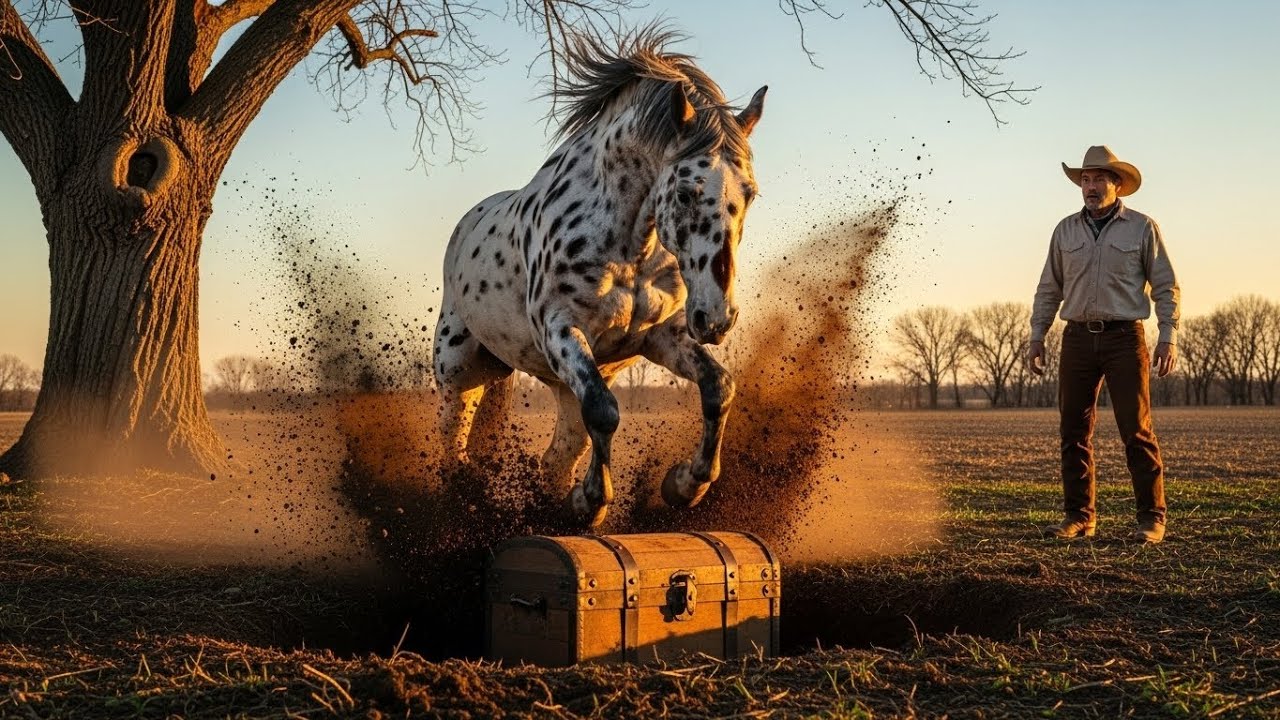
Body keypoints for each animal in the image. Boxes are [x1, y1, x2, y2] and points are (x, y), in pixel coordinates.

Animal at [432, 28, 766, 527]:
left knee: (556, 456)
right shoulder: (562, 331)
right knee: (453, 446)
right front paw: (589, 504)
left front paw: (684, 486)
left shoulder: (660, 338)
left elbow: (718, 388)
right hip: (459, 371)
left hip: (550, 385)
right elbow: (605, 411)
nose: (716, 318)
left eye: (751, 193)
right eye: (686, 192)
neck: (630, 248)